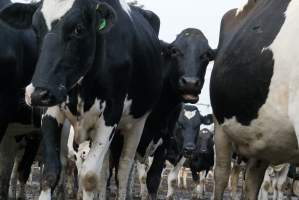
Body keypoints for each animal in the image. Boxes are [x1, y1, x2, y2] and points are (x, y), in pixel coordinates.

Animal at [0, 0, 164, 199]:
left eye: (78, 29)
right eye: (35, 29)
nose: (37, 93)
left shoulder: (111, 113)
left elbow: (89, 177)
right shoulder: (51, 111)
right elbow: (50, 172)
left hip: (136, 124)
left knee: (124, 170)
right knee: (104, 171)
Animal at [135, 27, 217, 198]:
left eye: (207, 54)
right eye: (174, 50)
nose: (190, 83)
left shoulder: (176, 154)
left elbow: (166, 179)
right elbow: (141, 176)